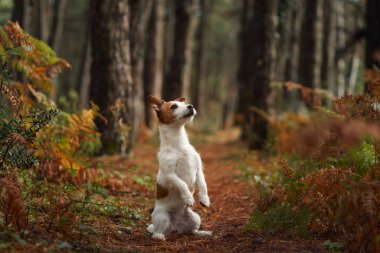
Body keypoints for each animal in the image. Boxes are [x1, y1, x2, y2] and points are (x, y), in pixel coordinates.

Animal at [146, 95, 212, 241]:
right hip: (162, 217)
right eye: (173, 106)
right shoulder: (170, 174)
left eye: (184, 104)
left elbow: (203, 183)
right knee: (155, 232)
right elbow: (182, 184)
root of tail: (174, 225)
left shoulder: (198, 167)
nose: (191, 106)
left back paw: (202, 233)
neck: (178, 144)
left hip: (195, 218)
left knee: (191, 231)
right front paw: (188, 197)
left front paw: (204, 199)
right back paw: (159, 236)